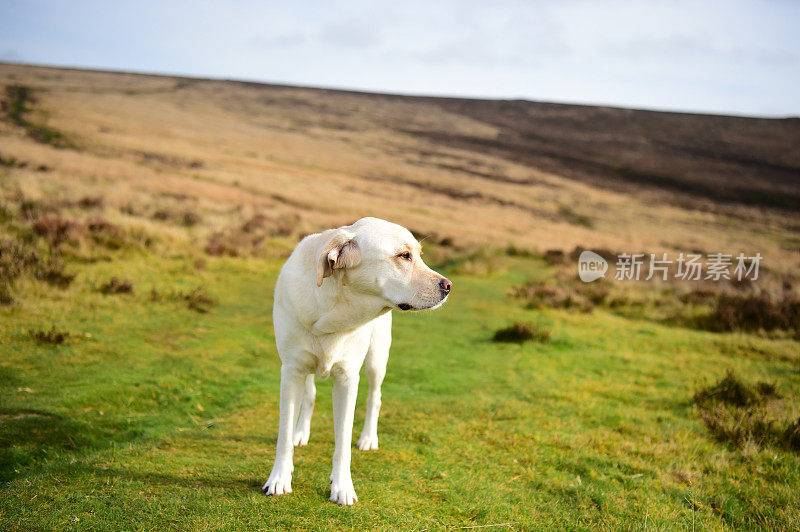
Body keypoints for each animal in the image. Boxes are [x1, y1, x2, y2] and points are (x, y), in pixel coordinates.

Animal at [260, 215, 450, 502]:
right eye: (404, 256)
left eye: (418, 254)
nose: (448, 286)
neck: (332, 309)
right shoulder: (291, 371)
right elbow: (284, 432)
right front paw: (279, 478)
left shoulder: (347, 378)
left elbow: (342, 441)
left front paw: (342, 487)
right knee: (310, 395)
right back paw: (301, 433)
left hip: (376, 361)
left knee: (375, 397)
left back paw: (368, 438)